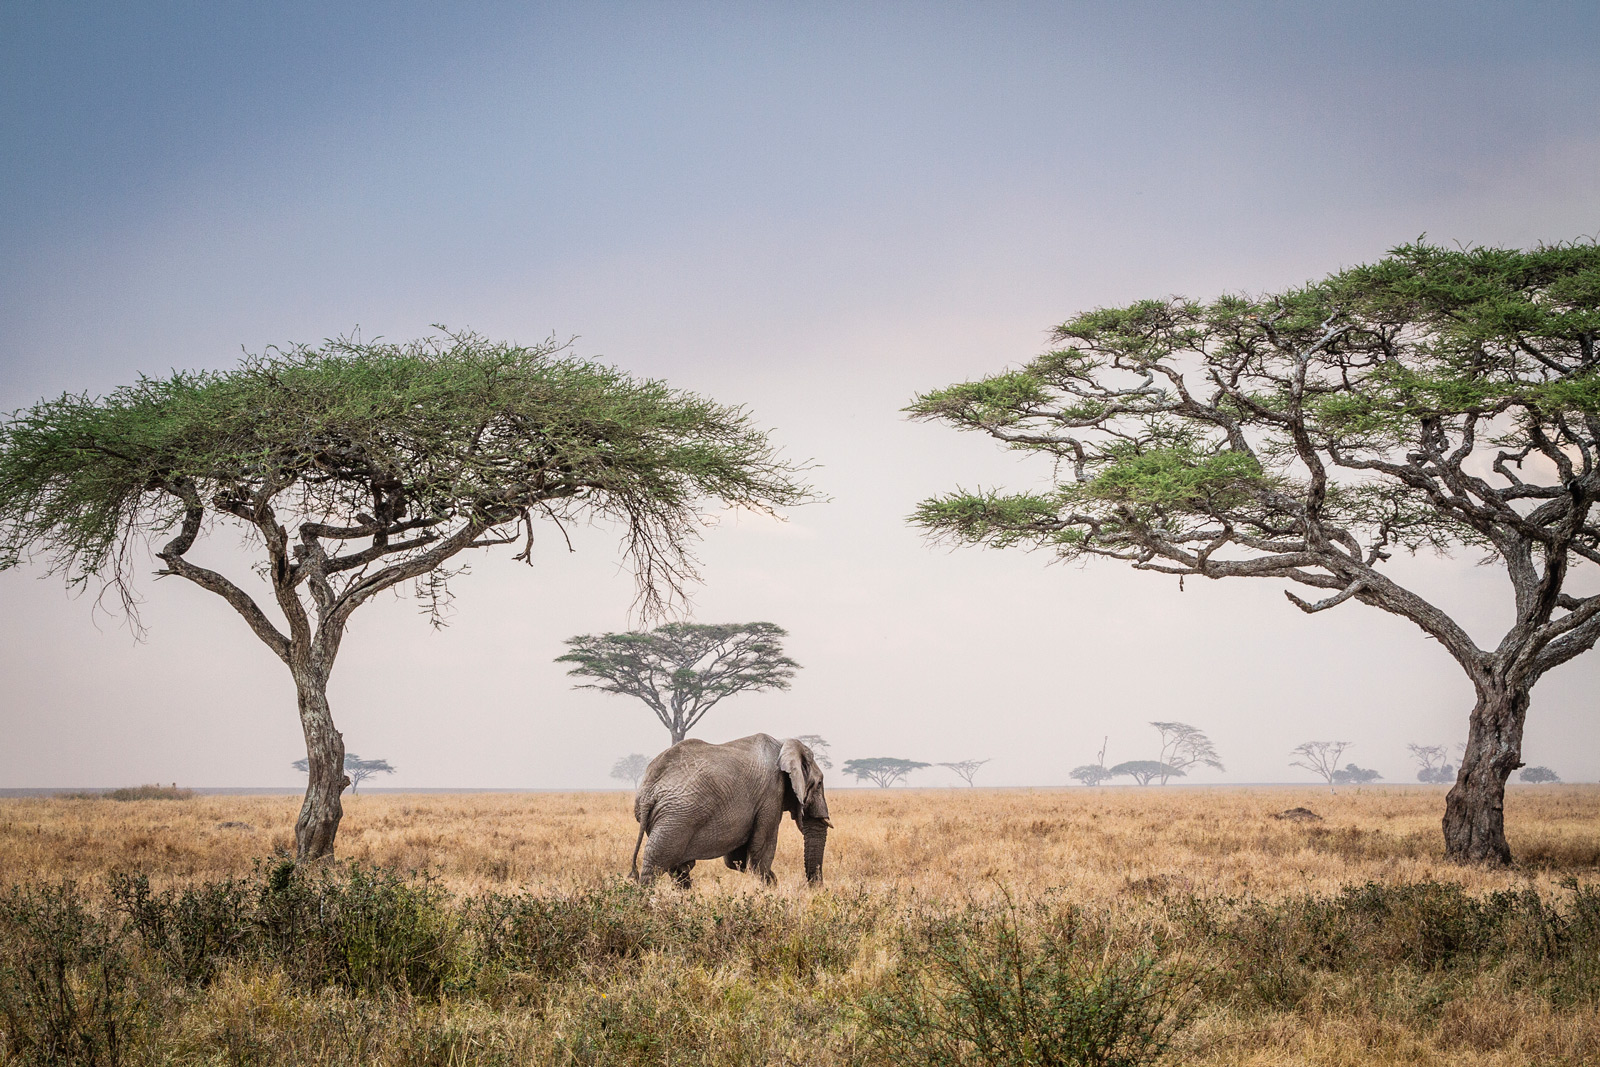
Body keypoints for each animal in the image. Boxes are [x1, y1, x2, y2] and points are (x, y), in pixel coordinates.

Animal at [624, 729, 832, 889]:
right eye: (820, 783)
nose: (813, 888)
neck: (783, 744)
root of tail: (647, 793)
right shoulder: (771, 793)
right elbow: (761, 849)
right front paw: (769, 887)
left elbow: (737, 859)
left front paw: (771, 883)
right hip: (676, 819)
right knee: (656, 862)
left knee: (677, 868)